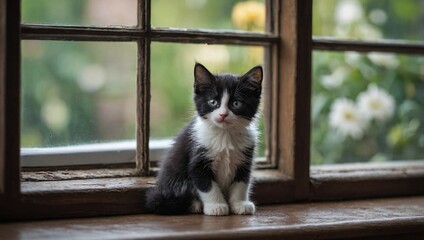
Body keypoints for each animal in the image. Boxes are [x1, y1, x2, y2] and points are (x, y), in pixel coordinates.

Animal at [147, 62, 264, 217]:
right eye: (213, 102)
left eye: (236, 103)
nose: (223, 115)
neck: (224, 135)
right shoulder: (197, 157)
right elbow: (207, 185)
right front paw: (216, 206)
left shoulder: (245, 159)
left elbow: (241, 183)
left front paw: (239, 204)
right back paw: (194, 205)